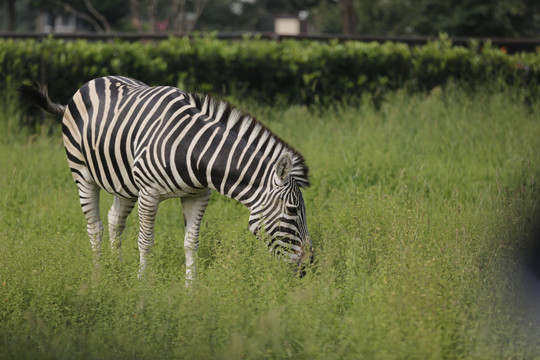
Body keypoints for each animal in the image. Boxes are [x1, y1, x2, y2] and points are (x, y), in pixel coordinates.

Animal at [19, 74, 312, 280]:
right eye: (292, 209)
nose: (308, 267)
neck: (194, 151)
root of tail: (95, 80)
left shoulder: (198, 196)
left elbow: (191, 243)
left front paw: (191, 289)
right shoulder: (150, 193)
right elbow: (145, 242)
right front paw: (143, 287)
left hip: (125, 183)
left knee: (114, 220)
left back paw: (116, 269)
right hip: (83, 174)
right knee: (95, 227)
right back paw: (99, 275)